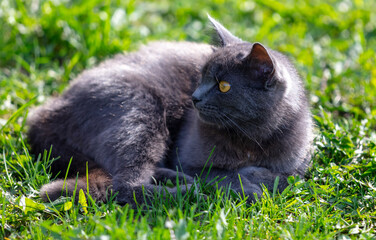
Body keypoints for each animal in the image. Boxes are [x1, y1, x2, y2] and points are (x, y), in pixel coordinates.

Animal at [27, 17, 312, 204]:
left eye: (224, 86)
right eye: (202, 76)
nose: (194, 98)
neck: (253, 138)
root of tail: (45, 112)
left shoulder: (297, 165)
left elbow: (287, 177)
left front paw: (258, 177)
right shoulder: (189, 158)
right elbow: (219, 174)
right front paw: (249, 185)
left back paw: (175, 180)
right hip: (137, 111)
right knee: (125, 184)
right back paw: (187, 190)